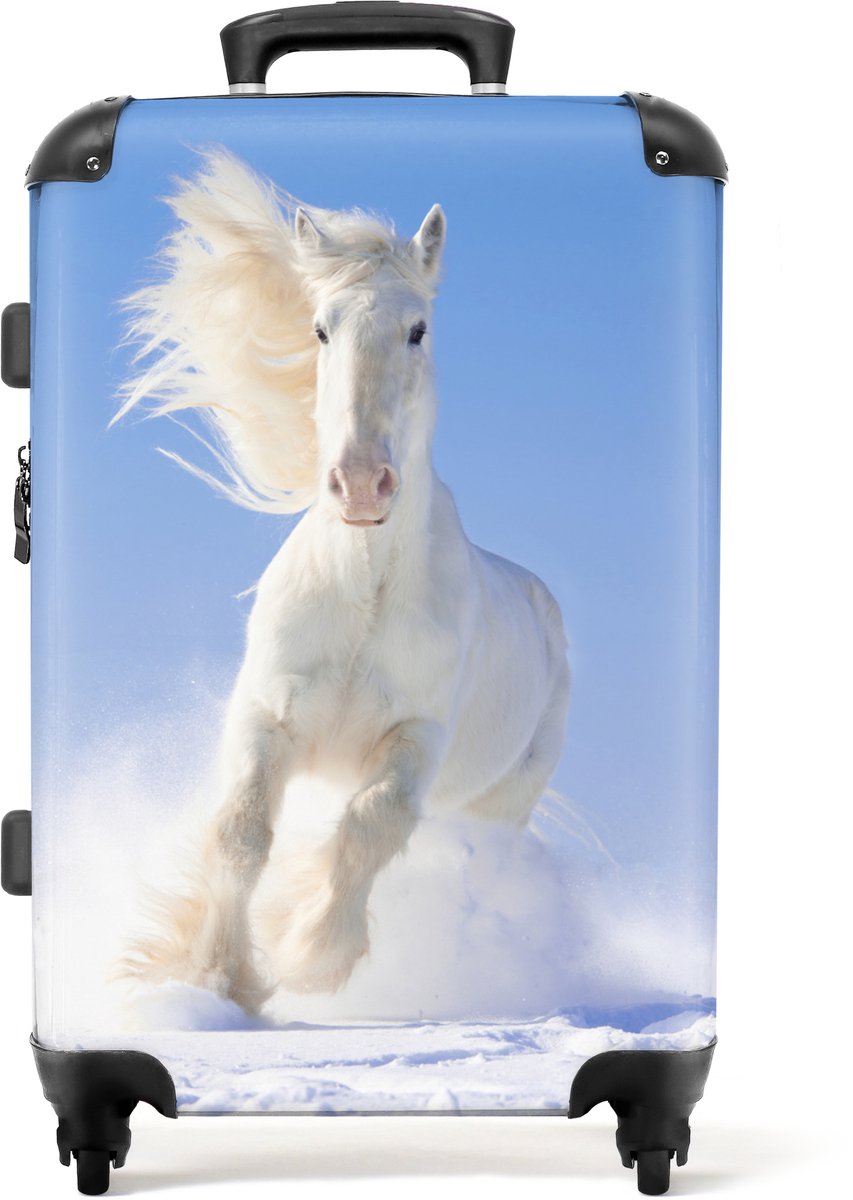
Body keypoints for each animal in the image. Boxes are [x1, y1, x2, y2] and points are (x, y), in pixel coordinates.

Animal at [115, 151, 570, 1012]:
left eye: (418, 329)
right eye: (321, 327)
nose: (361, 484)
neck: (362, 594)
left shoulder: (415, 740)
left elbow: (369, 826)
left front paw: (310, 956)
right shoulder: (268, 716)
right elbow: (241, 833)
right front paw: (215, 977)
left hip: (498, 806)